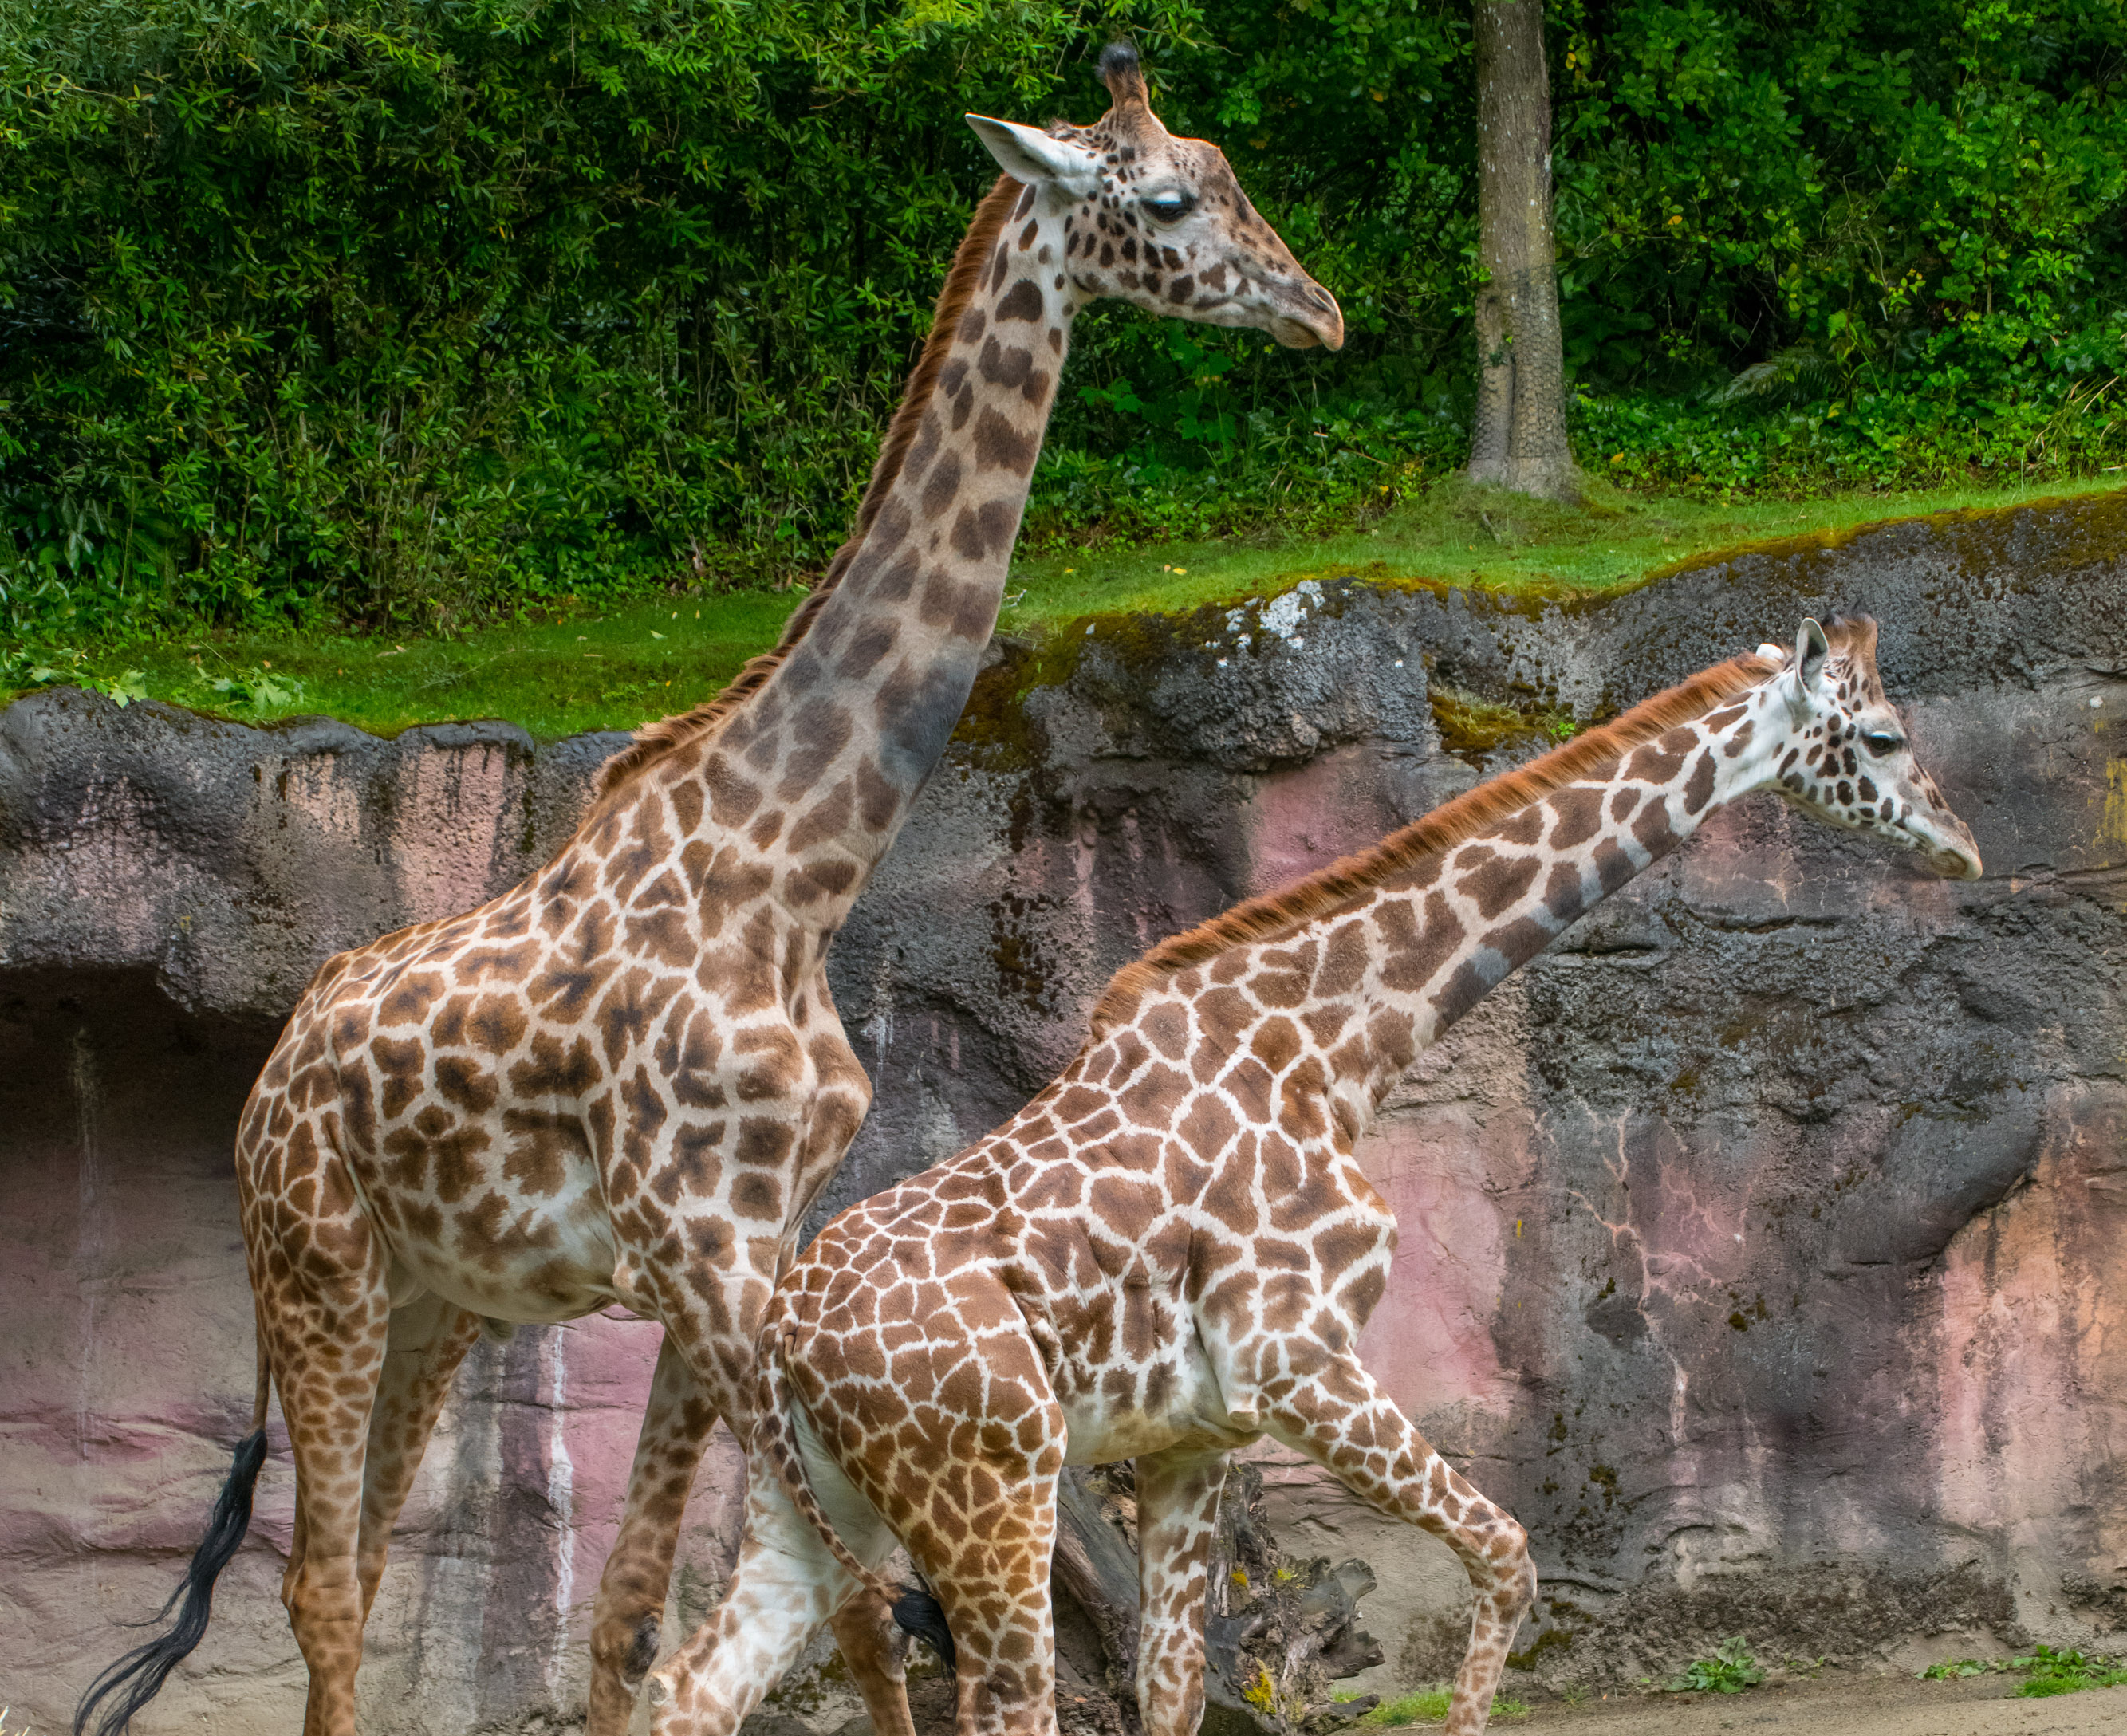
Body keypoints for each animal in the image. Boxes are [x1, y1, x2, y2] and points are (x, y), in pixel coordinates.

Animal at [72, 43, 1343, 1736]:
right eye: (1165, 201)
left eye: (1223, 168)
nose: (1319, 310)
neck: (793, 866)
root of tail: (265, 1081)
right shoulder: (704, 1253)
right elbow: (859, 1603)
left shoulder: (736, 1258)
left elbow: (630, 1620)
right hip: (314, 1264)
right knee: (322, 1584)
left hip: (438, 1297)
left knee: (368, 1559)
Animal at [640, 614, 1982, 1736]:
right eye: (1879, 733)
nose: (1963, 844)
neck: (1333, 1049)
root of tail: (783, 1346)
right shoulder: (1295, 1363)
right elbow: (1506, 1554)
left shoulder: (1197, 1431)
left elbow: (1177, 1689)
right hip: (991, 1487)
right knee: (996, 1704)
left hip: (816, 1504)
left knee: (686, 1688)